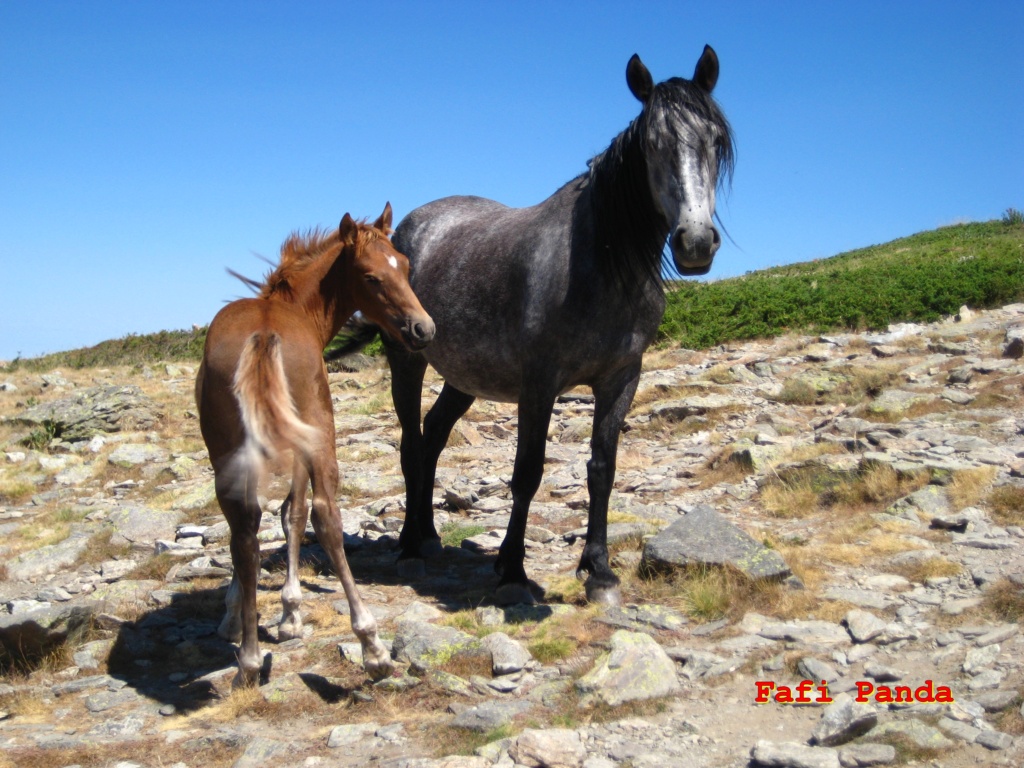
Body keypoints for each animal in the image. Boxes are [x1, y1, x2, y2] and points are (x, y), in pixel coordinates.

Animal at [194, 202, 432, 684]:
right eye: (371, 277)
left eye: (404, 265)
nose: (423, 329)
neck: (288, 307)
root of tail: (263, 335)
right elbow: (295, 514)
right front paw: (290, 614)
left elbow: (263, 524)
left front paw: (235, 617)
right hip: (319, 435)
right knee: (325, 517)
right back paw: (372, 646)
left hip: (227, 452)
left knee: (242, 533)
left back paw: (250, 659)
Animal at [339, 46, 733, 606]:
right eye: (653, 145)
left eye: (715, 141)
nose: (695, 242)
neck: (601, 262)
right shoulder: (539, 384)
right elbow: (527, 472)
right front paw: (511, 569)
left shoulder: (622, 378)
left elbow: (602, 469)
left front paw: (599, 571)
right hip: (408, 361)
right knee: (412, 443)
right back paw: (411, 544)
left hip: (465, 377)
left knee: (433, 435)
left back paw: (430, 535)